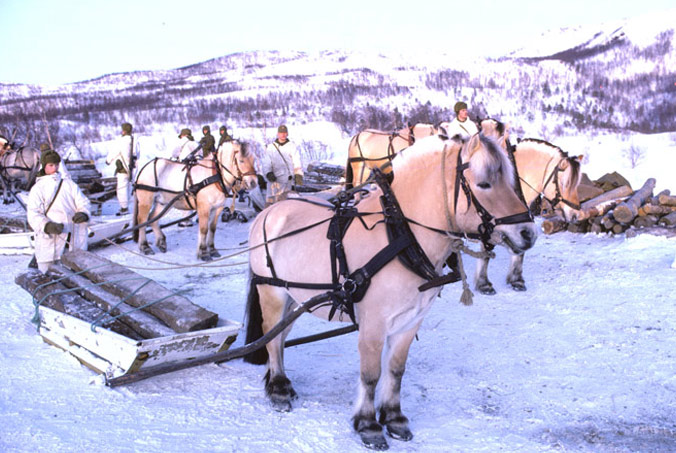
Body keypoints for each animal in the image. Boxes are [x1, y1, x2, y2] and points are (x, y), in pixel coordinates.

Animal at [243, 132, 540, 448]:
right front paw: (368, 424)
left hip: (295, 297)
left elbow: (396, 370)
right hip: (272, 293)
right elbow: (371, 374)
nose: (529, 233)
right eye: (484, 183)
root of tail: (268, 212)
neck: (401, 237)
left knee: (280, 337)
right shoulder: (373, 324)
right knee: (272, 337)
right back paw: (278, 390)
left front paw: (394, 418)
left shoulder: (409, 322)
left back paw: (281, 382)